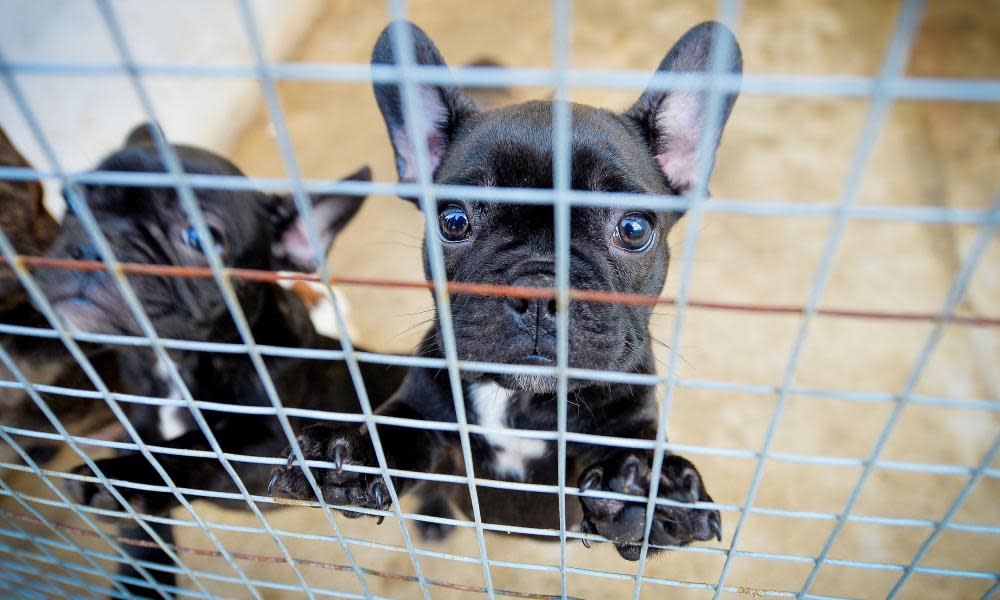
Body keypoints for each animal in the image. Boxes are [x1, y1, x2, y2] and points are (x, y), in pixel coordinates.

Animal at [34, 124, 406, 592]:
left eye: (200, 238)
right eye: (70, 202)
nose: (89, 244)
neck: (179, 363)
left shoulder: (263, 447)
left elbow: (197, 448)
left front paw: (124, 474)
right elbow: (146, 528)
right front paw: (141, 577)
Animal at [272, 19, 744, 564]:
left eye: (633, 229)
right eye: (454, 220)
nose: (539, 293)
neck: (521, 401)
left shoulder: (628, 422)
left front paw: (652, 489)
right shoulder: (426, 409)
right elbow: (397, 429)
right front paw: (348, 452)